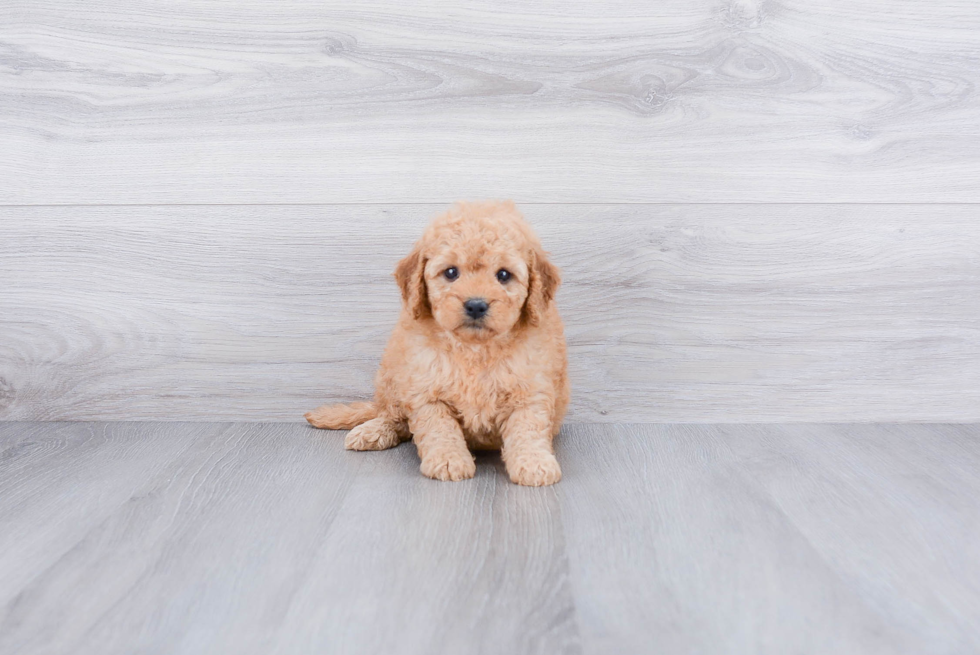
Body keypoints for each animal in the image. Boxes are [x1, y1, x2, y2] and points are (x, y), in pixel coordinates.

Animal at [304, 201, 568, 486]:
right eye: (451, 272)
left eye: (504, 275)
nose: (476, 305)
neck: (474, 348)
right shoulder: (426, 390)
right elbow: (439, 429)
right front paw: (449, 461)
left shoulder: (530, 389)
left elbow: (527, 427)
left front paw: (535, 463)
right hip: (392, 375)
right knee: (393, 417)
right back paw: (373, 431)